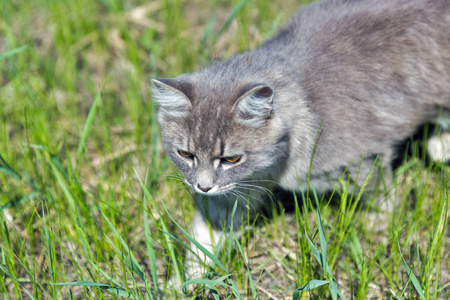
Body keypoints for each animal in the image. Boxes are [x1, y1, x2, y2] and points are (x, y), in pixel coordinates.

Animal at [152, 0, 450, 278]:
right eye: (185, 155)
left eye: (231, 159)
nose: (202, 187)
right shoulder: (230, 196)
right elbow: (204, 241)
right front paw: (185, 282)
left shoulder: (363, 161)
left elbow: (382, 198)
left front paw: (380, 223)